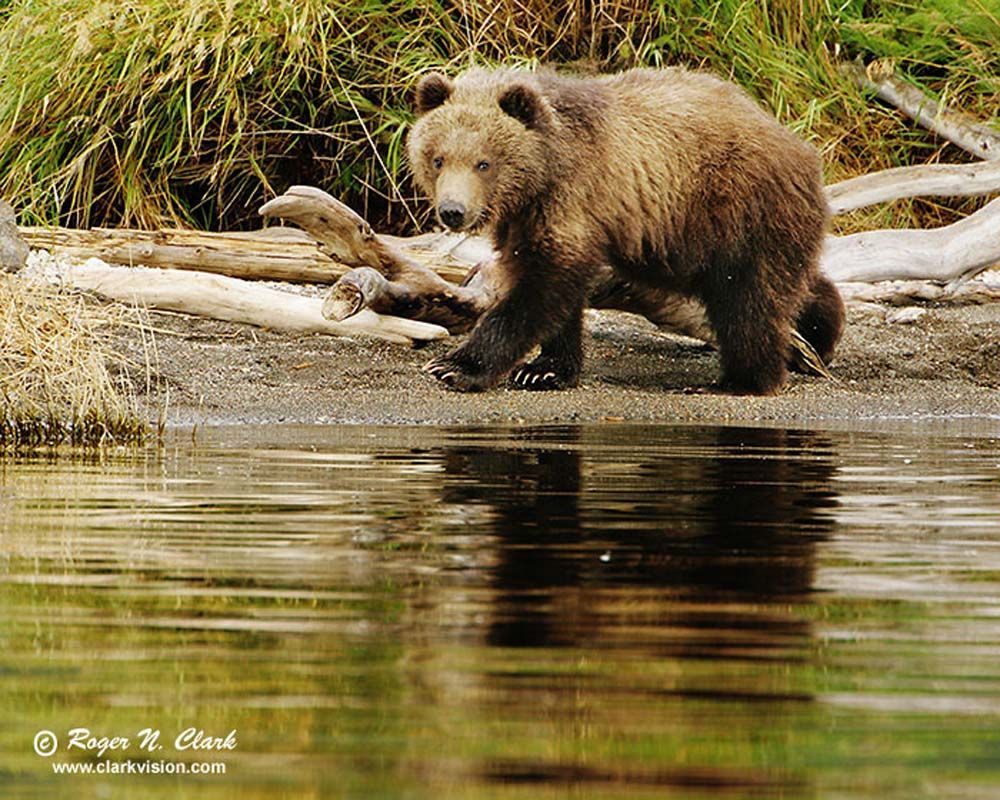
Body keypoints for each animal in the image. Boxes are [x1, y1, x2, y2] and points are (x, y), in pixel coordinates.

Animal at [407, 66, 845, 394]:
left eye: (484, 163)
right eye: (438, 158)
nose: (453, 211)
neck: (543, 172)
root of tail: (802, 148)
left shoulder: (573, 195)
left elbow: (540, 288)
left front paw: (455, 365)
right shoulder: (527, 217)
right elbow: (549, 285)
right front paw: (545, 368)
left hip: (737, 207)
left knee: (749, 300)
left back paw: (742, 380)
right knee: (788, 282)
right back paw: (821, 329)